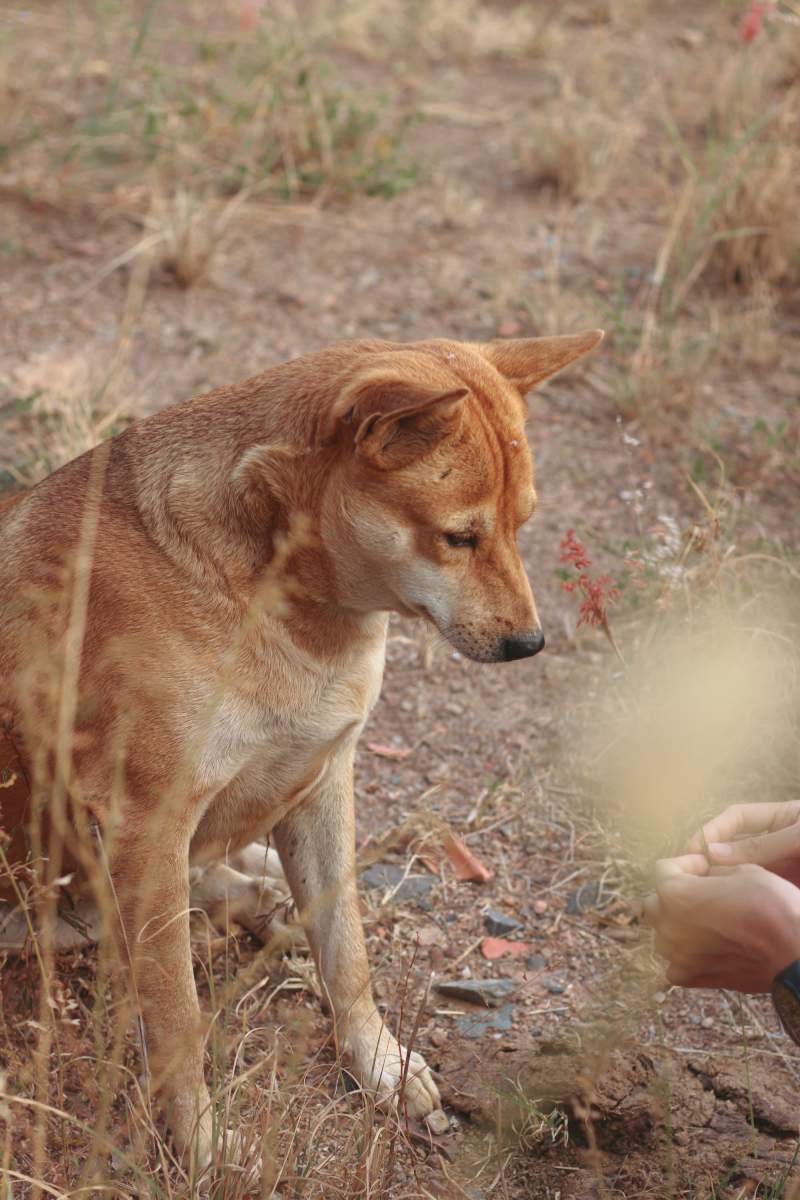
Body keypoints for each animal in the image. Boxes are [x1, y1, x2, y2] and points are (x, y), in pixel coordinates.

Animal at [0, 328, 599, 1161]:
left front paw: (377, 1063)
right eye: (460, 537)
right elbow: (179, 1016)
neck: (272, 587)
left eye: (522, 526)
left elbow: (346, 953)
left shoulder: (323, 778)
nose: (529, 645)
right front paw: (202, 1145)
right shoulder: (148, 826)